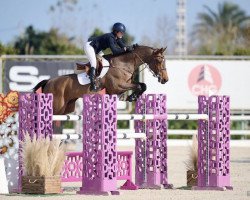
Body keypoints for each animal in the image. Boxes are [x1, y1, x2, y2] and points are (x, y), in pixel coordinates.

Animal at [32, 45, 168, 114]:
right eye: (159, 60)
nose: (165, 79)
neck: (123, 64)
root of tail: (48, 81)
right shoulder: (117, 87)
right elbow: (140, 85)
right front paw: (132, 97)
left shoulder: (124, 86)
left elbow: (143, 85)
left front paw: (132, 97)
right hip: (56, 106)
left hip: (66, 108)